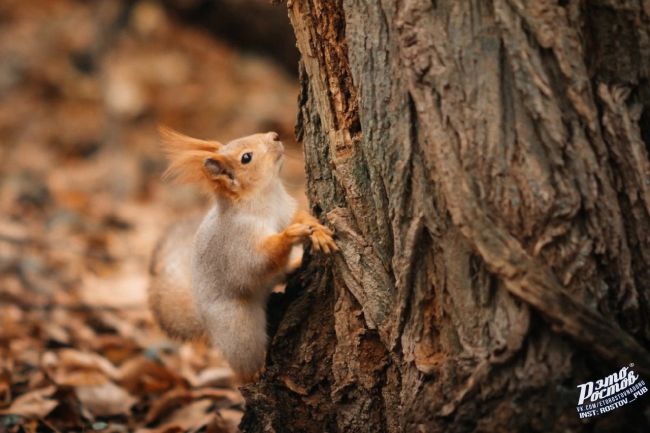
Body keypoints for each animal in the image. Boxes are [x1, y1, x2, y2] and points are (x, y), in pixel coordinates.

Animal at [149, 126, 336, 380]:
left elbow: (299, 217)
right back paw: (255, 373)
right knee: (244, 362)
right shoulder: (238, 243)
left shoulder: (285, 210)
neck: (266, 197)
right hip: (239, 330)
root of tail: (204, 318)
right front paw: (290, 235)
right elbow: (260, 260)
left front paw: (316, 230)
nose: (275, 136)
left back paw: (295, 265)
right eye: (246, 157)